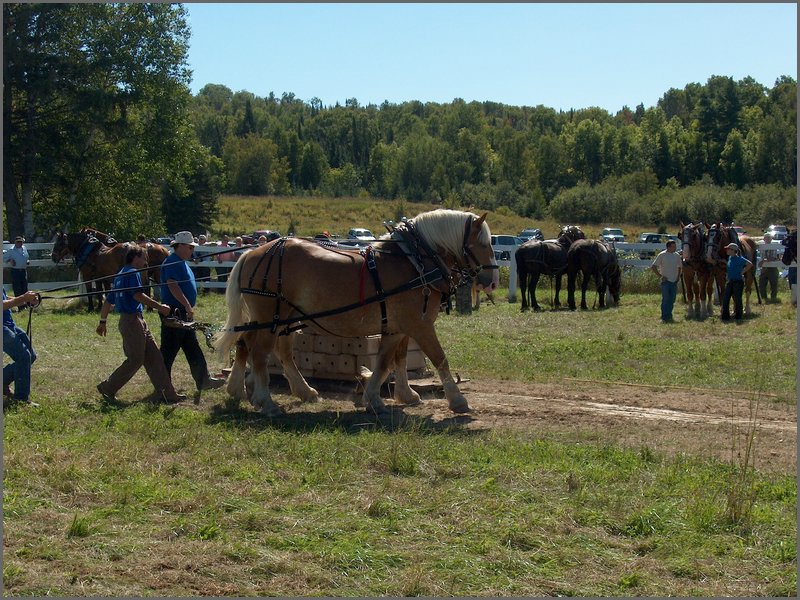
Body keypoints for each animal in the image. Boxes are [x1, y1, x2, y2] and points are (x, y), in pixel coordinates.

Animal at [216, 211, 496, 418]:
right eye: (482, 243)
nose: (492, 280)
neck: (414, 261)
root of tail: (250, 253)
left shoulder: (397, 327)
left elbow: (389, 361)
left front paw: (384, 398)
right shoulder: (420, 324)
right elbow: (439, 358)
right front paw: (457, 400)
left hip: (281, 317)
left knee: (261, 347)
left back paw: (274, 390)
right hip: (269, 317)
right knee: (259, 353)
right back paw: (266, 401)